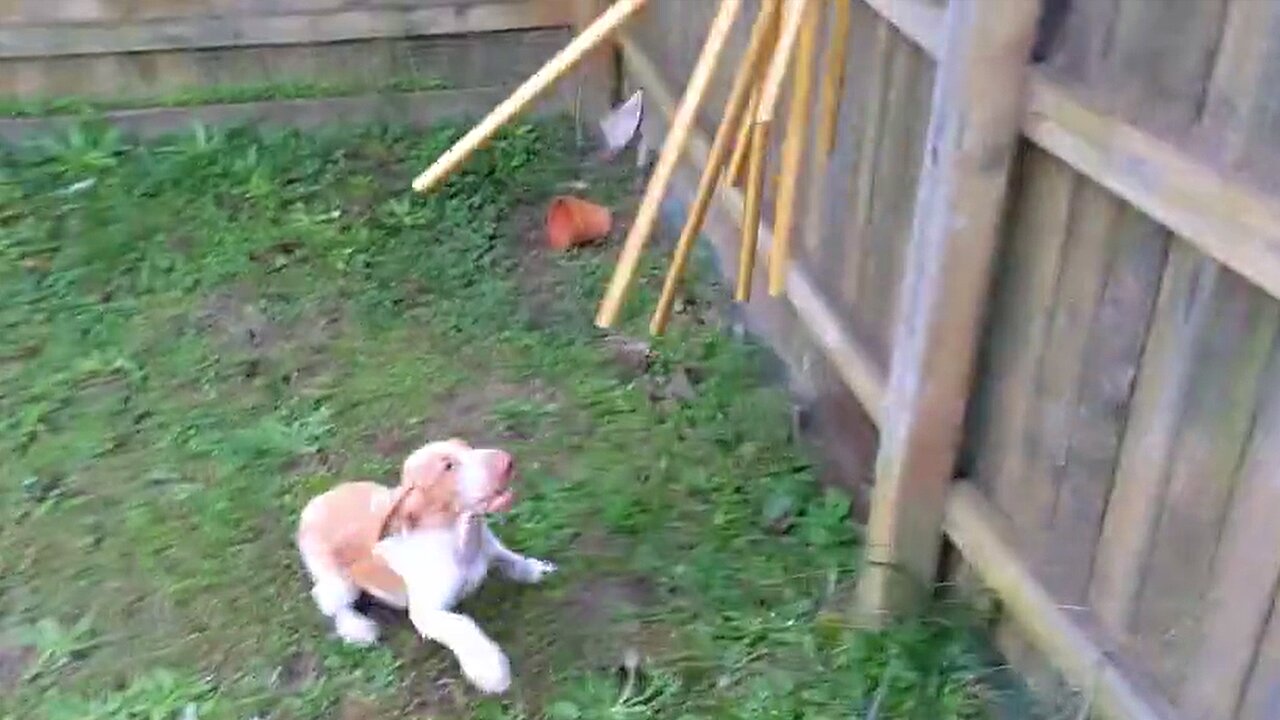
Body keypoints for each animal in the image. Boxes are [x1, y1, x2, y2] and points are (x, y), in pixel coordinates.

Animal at [299, 435, 560, 691]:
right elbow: (463, 625)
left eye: (467, 446)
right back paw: (356, 628)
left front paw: (537, 570)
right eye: (448, 467)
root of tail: (310, 508)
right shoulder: (426, 613)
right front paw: (491, 670)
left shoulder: (490, 546)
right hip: (339, 581)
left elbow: (511, 559)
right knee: (326, 600)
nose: (508, 461)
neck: (460, 538)